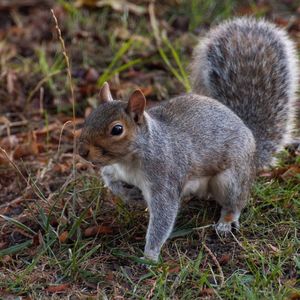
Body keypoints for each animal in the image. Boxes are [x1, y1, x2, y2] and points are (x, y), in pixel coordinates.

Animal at [78, 17, 298, 262]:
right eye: (89, 117)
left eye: (117, 129)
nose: (82, 151)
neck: (129, 160)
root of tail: (251, 138)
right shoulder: (114, 169)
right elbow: (112, 183)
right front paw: (130, 195)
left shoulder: (164, 179)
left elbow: (163, 218)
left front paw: (149, 256)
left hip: (232, 178)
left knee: (235, 201)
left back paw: (226, 221)